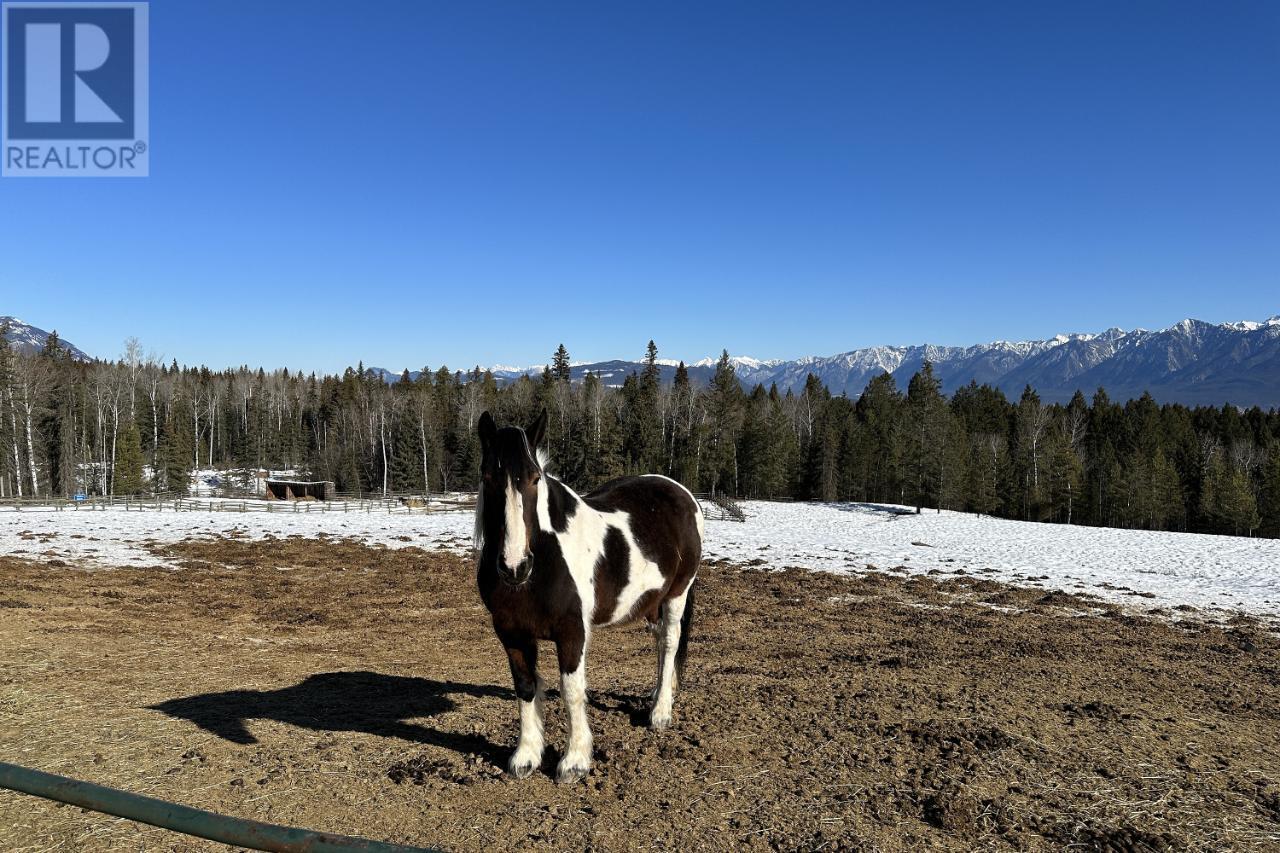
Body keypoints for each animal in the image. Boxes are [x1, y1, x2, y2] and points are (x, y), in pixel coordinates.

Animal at [476, 409, 706, 778]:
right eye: (487, 477)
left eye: (535, 479)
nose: (514, 566)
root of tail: (682, 492)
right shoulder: (511, 632)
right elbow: (525, 687)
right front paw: (526, 756)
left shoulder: (572, 631)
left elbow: (571, 690)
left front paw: (575, 761)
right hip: (651, 602)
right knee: (660, 646)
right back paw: (658, 694)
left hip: (676, 594)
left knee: (670, 643)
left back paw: (660, 713)